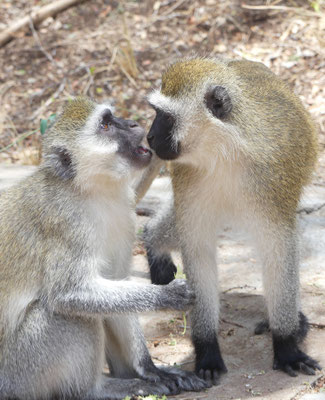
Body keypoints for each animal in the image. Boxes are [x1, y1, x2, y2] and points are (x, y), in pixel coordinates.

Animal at [0, 97, 208, 400]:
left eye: (114, 117)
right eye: (106, 125)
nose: (133, 123)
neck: (89, 189)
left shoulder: (124, 214)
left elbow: (114, 280)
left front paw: (151, 369)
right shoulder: (68, 224)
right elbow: (69, 293)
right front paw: (167, 296)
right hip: (19, 374)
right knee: (65, 315)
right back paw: (98, 389)